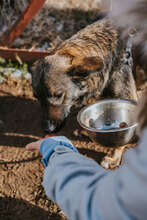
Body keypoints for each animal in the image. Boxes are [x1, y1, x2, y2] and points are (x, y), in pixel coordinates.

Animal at [30, 17, 139, 168]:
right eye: (37, 98)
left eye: (58, 95)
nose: (47, 129)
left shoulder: (127, 99)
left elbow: (121, 136)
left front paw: (113, 157)